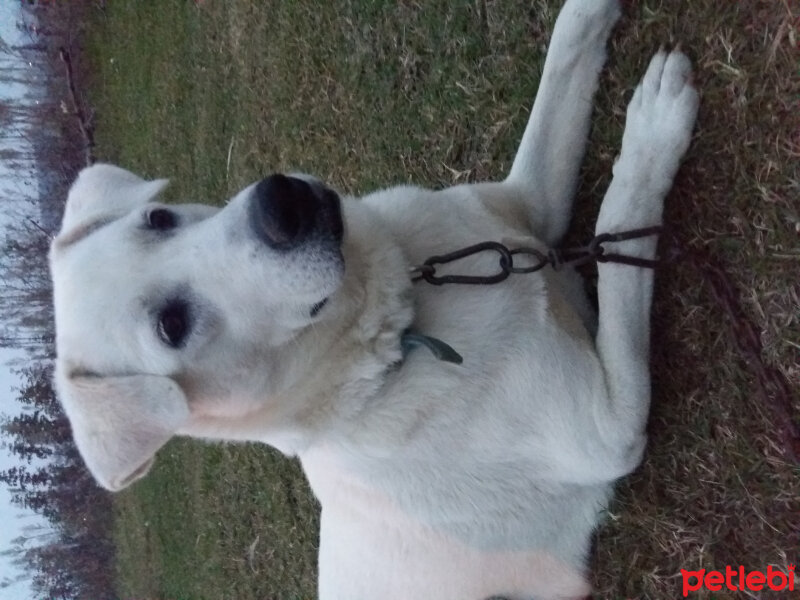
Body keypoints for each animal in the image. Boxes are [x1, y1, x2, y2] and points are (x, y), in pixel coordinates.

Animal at [51, 0, 700, 596]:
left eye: (158, 218)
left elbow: (564, 54)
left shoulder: (527, 205)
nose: (281, 205)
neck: (398, 336)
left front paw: (594, 14)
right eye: (172, 325)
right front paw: (656, 126)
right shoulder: (610, 429)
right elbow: (621, 226)